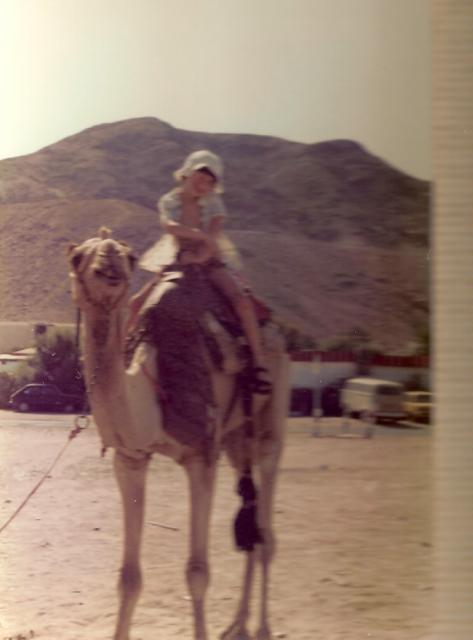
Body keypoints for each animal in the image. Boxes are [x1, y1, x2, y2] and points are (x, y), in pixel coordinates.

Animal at [66, 228, 288, 636]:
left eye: (129, 256)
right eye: (78, 257)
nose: (109, 266)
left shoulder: (201, 453)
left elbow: (197, 573)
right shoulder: (131, 458)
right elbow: (128, 579)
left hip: (271, 413)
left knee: (266, 529)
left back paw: (261, 630)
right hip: (235, 439)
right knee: (251, 524)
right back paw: (236, 626)